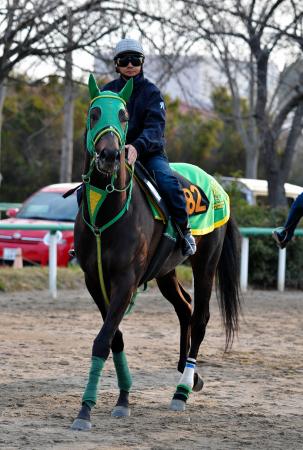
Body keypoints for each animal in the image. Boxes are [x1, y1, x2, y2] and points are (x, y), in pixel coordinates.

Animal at [71, 75, 242, 430]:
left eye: (123, 115)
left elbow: (103, 339)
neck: (107, 212)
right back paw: (188, 373)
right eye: (94, 113)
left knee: (200, 316)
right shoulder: (95, 281)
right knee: (185, 308)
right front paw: (123, 398)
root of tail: (218, 186)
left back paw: (182, 390)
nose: (110, 154)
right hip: (166, 271)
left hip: (206, 264)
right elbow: (114, 337)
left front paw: (86, 409)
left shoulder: (126, 281)